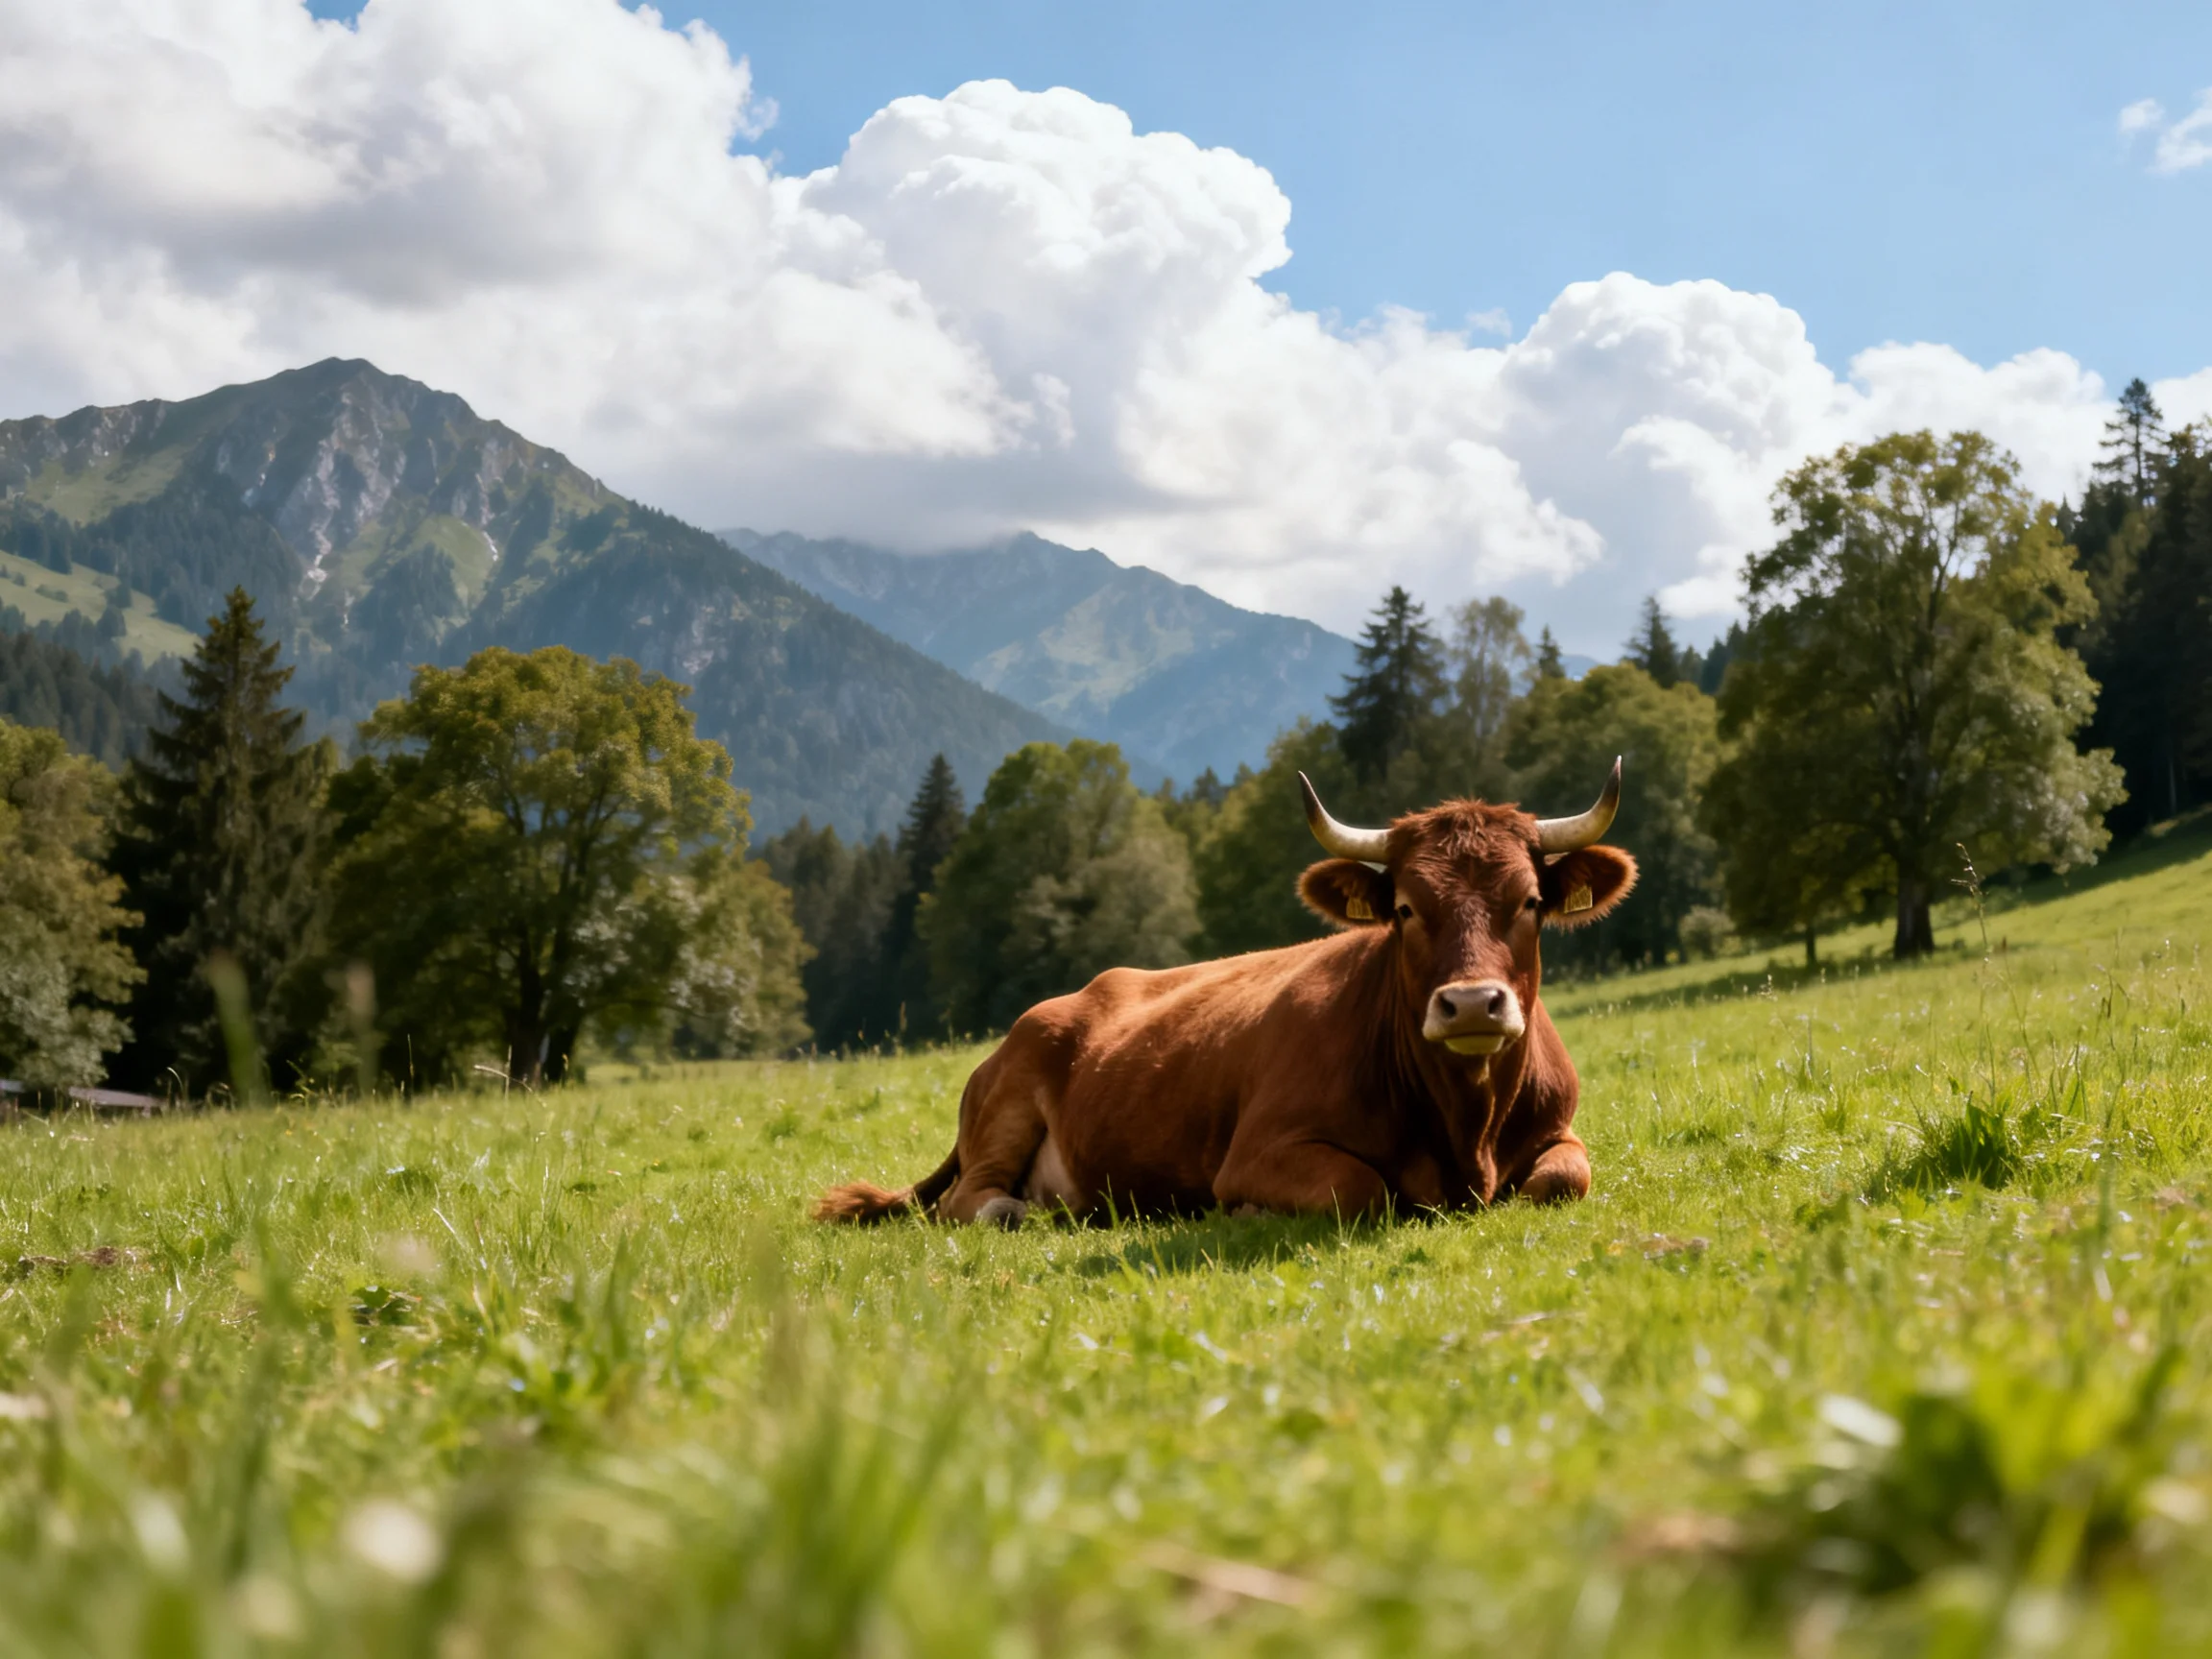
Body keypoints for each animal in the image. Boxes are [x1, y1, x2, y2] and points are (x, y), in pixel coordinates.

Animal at [813, 763, 1637, 1226]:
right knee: (969, 1201)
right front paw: (1245, 1213)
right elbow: (1360, 1187)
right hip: (1007, 1106)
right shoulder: (1257, 1152)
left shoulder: (1558, 1133)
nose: (1470, 1004)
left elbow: (1564, 1177)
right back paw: (1020, 1211)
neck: (1468, 1130)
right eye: (1405, 908)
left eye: (1530, 901)